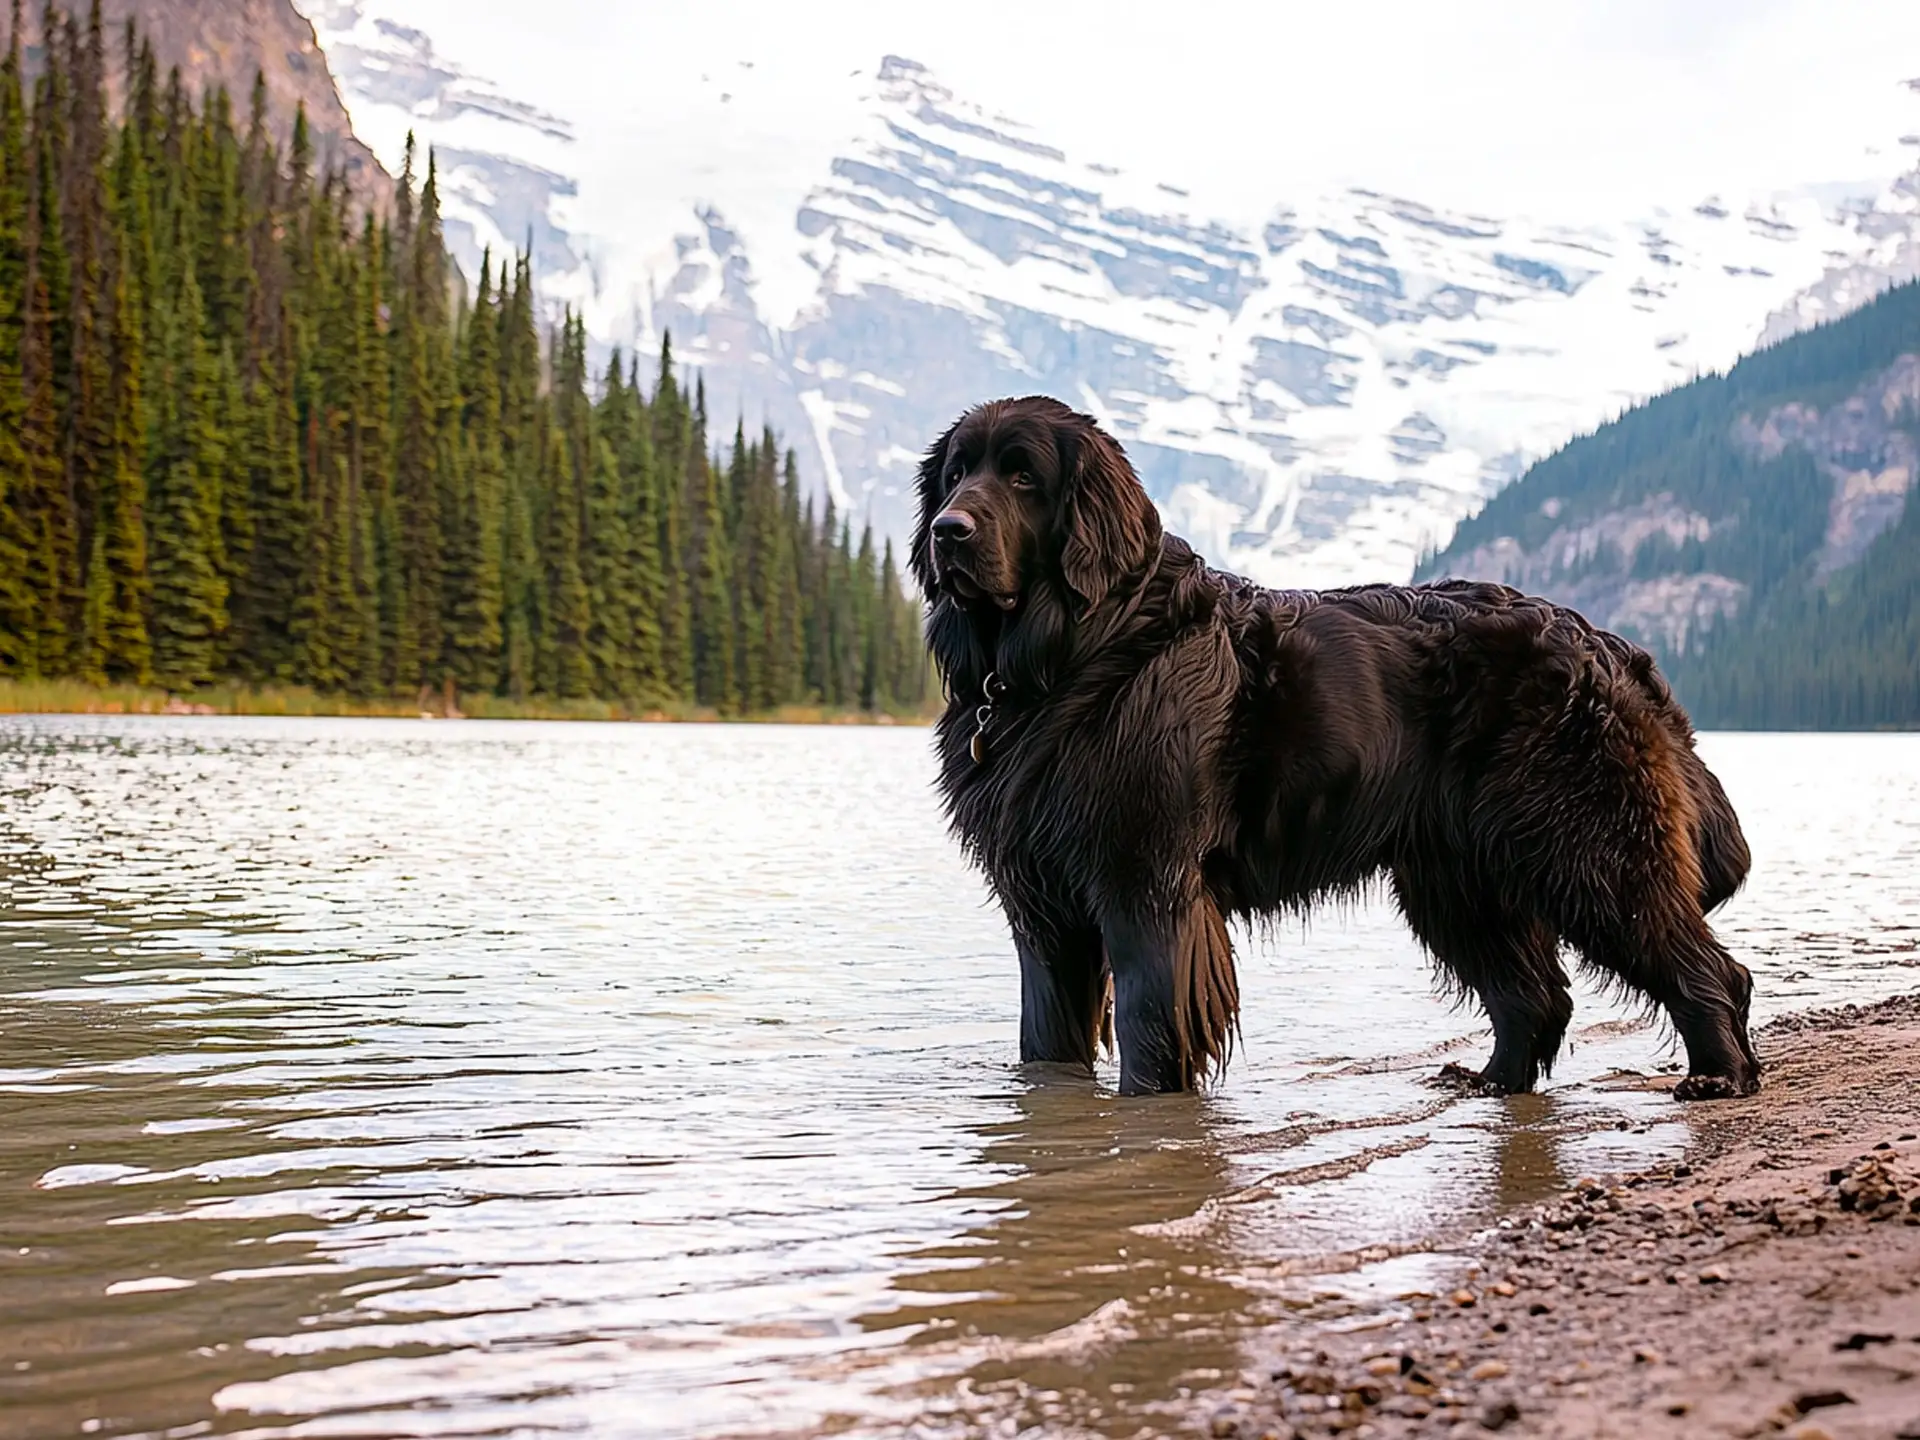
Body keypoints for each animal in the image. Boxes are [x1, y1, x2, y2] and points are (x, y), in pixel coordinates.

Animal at [906, 395, 1758, 1105]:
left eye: (1023, 475)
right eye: (956, 475)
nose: (949, 531)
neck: (1071, 655)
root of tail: (1605, 644)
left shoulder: (1145, 885)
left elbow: (1150, 1028)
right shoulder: (1042, 909)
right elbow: (1046, 1041)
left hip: (1587, 851)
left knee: (1706, 966)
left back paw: (1718, 1076)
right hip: (1458, 880)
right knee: (1536, 994)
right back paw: (1490, 1084)